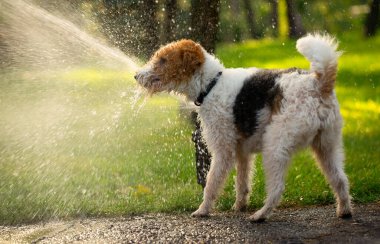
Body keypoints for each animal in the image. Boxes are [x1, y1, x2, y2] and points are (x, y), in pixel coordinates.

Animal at [134, 33, 354, 222]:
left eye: (163, 59)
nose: (136, 76)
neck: (211, 85)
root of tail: (319, 84)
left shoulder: (223, 150)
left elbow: (211, 184)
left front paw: (203, 210)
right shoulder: (242, 152)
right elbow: (242, 183)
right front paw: (239, 206)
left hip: (275, 147)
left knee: (277, 188)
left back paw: (260, 215)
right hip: (327, 146)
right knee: (340, 180)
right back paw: (344, 211)